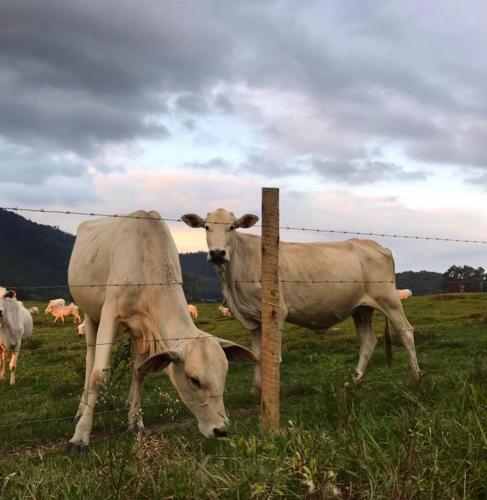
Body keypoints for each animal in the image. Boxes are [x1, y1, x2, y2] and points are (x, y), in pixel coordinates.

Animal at [66, 209, 258, 452]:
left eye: (224, 374)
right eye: (194, 380)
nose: (221, 430)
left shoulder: (143, 329)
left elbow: (140, 371)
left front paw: (136, 422)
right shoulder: (110, 314)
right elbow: (98, 376)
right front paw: (80, 436)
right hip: (90, 314)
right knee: (90, 360)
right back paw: (80, 410)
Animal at [181, 209, 422, 392]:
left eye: (232, 227)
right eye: (206, 227)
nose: (218, 253)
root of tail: (375, 245)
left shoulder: (277, 312)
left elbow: (273, 357)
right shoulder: (252, 319)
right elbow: (258, 356)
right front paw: (256, 391)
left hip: (388, 299)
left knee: (406, 332)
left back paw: (415, 377)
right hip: (361, 308)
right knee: (368, 340)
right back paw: (354, 381)